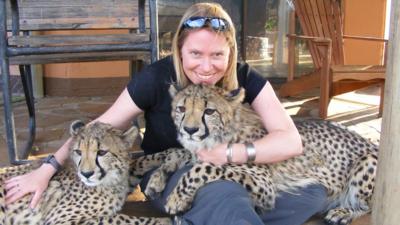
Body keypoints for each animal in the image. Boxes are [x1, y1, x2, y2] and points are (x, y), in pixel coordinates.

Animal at [0, 121, 170, 225]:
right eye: (78, 152)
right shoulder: (61, 221)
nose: (86, 174)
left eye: (101, 152)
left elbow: (140, 161)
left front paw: (172, 155)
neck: (109, 182)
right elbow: (118, 219)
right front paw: (165, 221)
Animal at [135, 85, 378, 225]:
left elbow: (205, 167)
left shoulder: (263, 183)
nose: (190, 130)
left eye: (209, 111)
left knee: (368, 206)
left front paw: (177, 197)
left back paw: (343, 212)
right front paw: (154, 175)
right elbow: (173, 152)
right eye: (181, 109)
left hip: (367, 162)